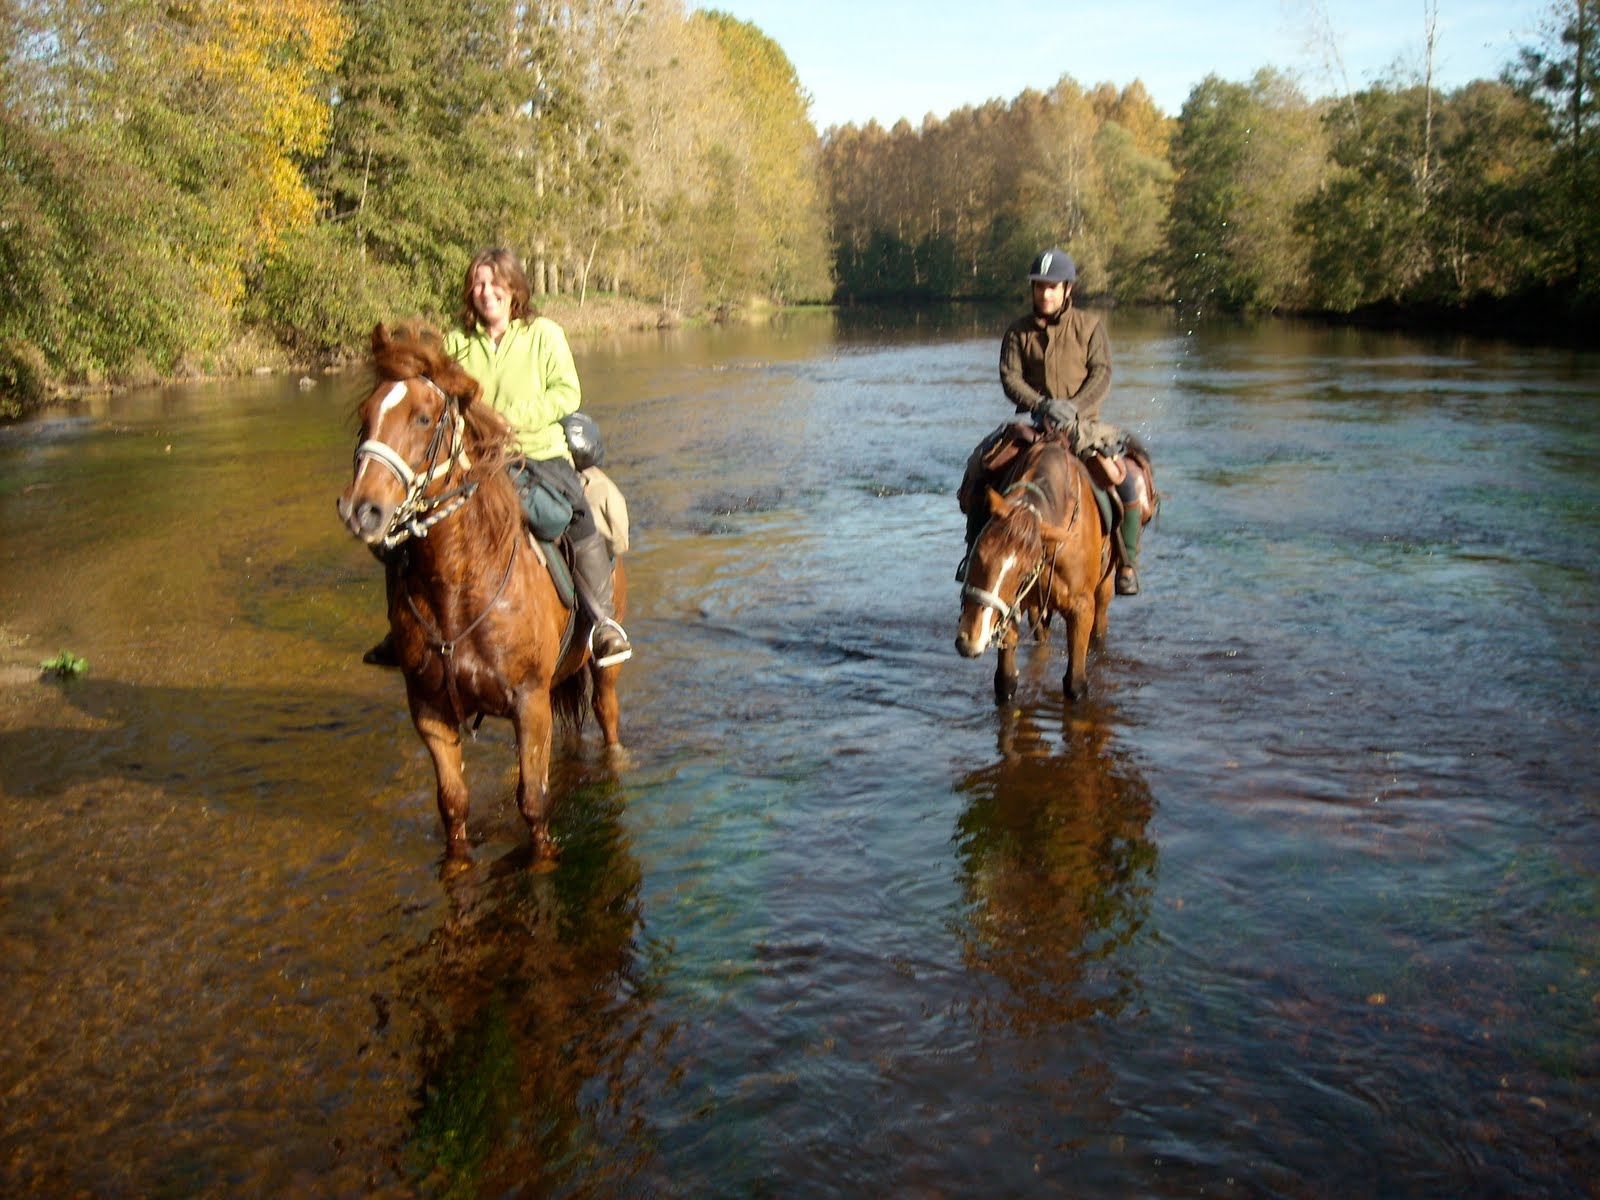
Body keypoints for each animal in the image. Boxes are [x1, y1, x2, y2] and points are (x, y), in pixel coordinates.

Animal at [336, 322, 624, 867]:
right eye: (366, 416)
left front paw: (543, 863)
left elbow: (533, 803)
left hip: (601, 668)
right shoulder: (428, 711)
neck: (458, 586)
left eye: (424, 417)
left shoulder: (528, 702)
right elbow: (453, 806)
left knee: (607, 714)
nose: (361, 511)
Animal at [955, 433, 1113, 704]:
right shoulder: (1010, 609)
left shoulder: (1082, 609)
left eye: (1023, 571)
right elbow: (1006, 681)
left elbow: (1076, 684)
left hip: (1104, 588)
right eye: (978, 552)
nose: (969, 641)